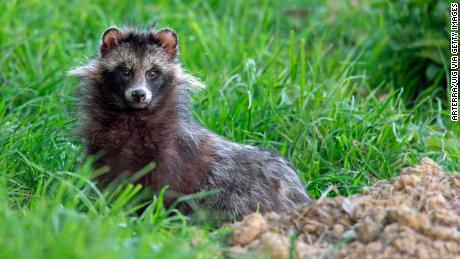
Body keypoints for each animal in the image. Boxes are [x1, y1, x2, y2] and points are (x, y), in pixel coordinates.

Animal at [71, 25, 310, 222]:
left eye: (153, 73)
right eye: (124, 71)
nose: (139, 94)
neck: (132, 116)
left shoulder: (170, 155)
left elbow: (162, 190)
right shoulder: (103, 147)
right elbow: (108, 181)